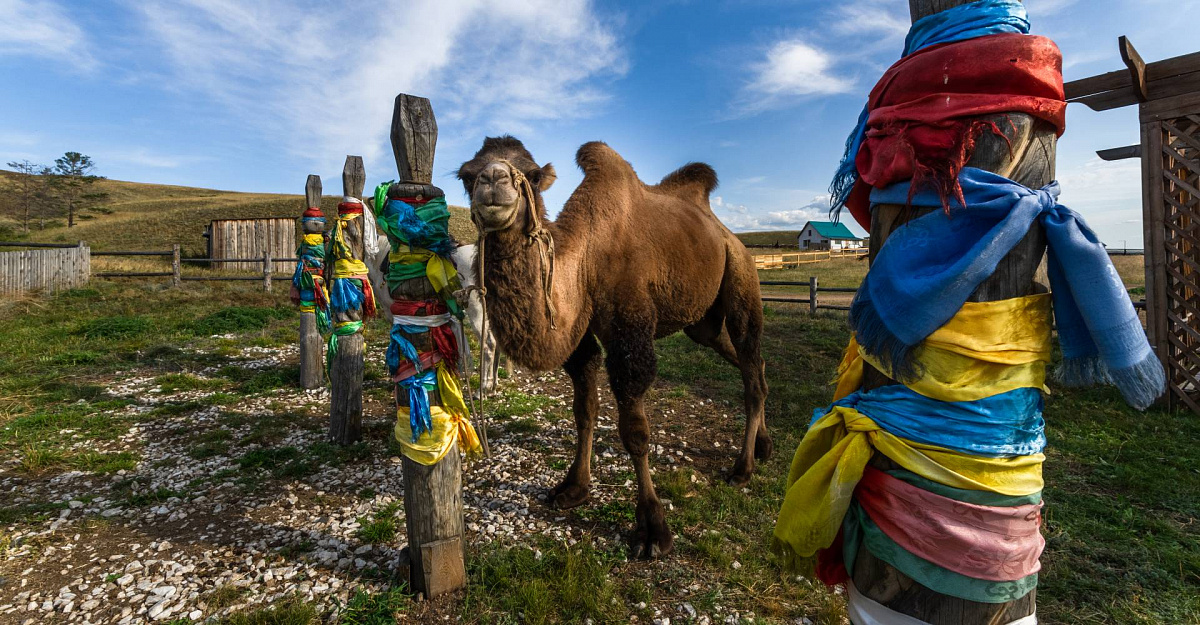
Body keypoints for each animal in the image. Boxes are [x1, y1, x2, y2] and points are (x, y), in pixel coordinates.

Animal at [458, 136, 768, 556]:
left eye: (533, 175)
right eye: (466, 175)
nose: (493, 180)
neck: (585, 262)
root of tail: (728, 234)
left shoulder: (629, 333)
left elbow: (634, 431)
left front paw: (653, 528)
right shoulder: (580, 340)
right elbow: (584, 411)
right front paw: (573, 488)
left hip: (741, 279)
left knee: (749, 358)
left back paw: (742, 469)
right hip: (702, 322)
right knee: (751, 365)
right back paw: (764, 445)